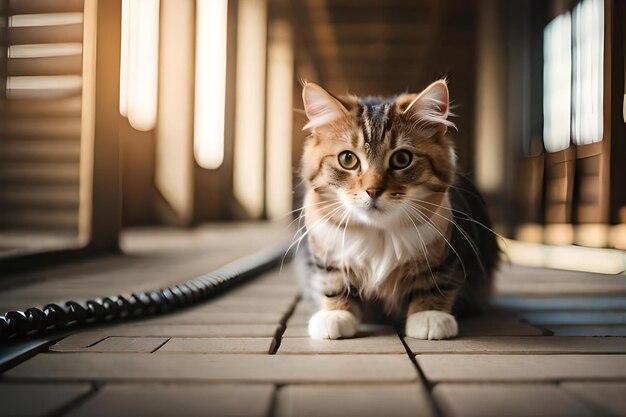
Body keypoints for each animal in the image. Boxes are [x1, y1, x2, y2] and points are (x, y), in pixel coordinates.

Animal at [296, 79, 498, 340]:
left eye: (402, 159)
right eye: (347, 159)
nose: (373, 190)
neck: (379, 231)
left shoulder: (450, 252)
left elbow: (435, 283)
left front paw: (429, 316)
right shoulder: (325, 254)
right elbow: (334, 282)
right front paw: (336, 315)